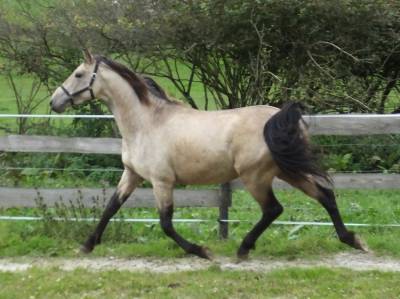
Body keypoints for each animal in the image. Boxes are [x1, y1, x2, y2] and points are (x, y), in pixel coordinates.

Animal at [49, 51, 366, 260]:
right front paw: (87, 245)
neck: (146, 123)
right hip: (286, 170)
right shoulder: (132, 175)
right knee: (324, 195)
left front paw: (201, 250)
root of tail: (279, 118)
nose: (55, 102)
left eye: (78, 74)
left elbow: (166, 223)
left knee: (273, 209)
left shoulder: (161, 181)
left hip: (256, 176)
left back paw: (243, 248)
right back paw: (353, 240)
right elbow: (110, 208)